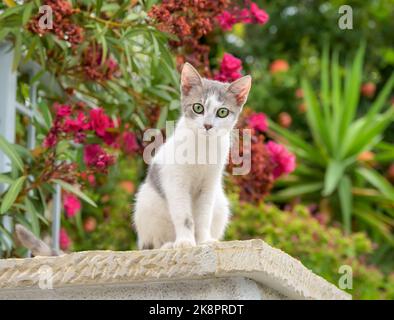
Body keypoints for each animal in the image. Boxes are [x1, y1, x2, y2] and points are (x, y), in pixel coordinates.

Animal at [134, 62, 252, 248]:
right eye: (198, 107)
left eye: (222, 112)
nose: (208, 125)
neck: (203, 147)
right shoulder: (176, 181)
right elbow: (184, 216)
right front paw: (185, 242)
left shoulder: (209, 185)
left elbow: (203, 216)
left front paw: (204, 241)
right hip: (146, 204)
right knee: (152, 242)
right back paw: (167, 245)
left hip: (220, 204)